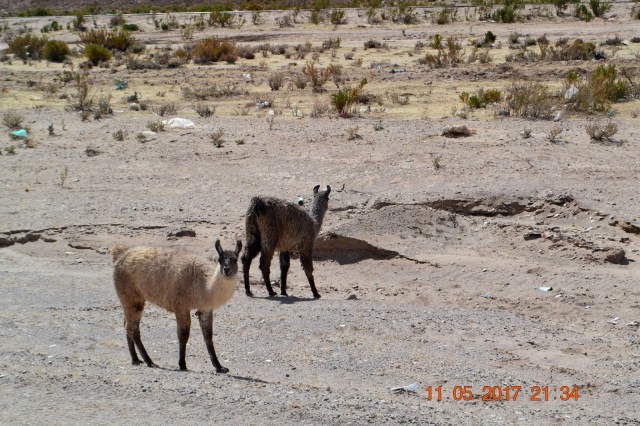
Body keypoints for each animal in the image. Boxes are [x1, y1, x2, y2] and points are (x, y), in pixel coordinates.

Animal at [111, 239, 242, 373]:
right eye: (220, 259)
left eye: (235, 259)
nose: (226, 270)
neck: (204, 286)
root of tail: (121, 254)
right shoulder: (181, 306)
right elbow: (183, 335)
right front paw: (182, 364)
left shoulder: (205, 309)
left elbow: (208, 337)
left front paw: (219, 367)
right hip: (131, 297)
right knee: (134, 329)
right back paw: (149, 361)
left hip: (132, 300)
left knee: (128, 326)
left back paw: (136, 359)